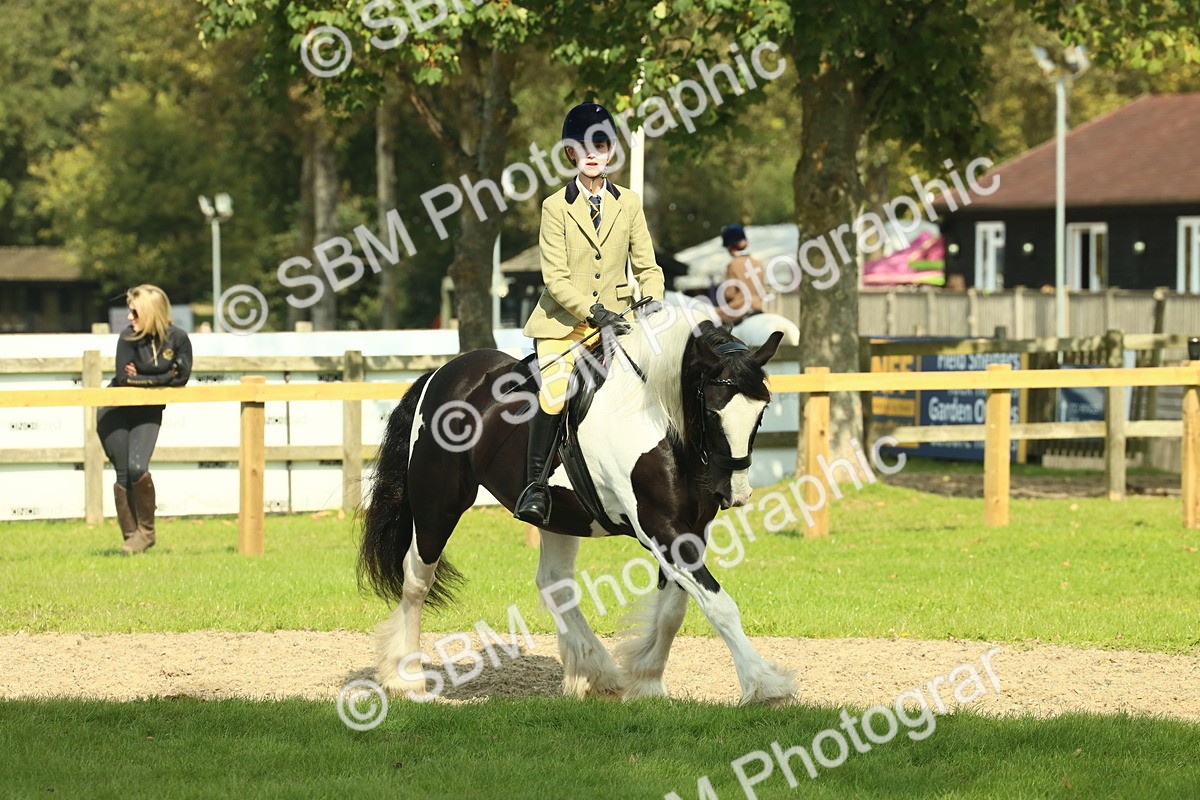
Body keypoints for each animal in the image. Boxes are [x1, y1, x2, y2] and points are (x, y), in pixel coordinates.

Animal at [358, 307, 797, 705]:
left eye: (762, 410)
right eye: (711, 408)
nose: (733, 493)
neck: (660, 420)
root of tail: (444, 374)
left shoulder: (688, 528)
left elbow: (675, 609)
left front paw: (647, 680)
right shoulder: (662, 528)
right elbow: (719, 605)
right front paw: (764, 686)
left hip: (558, 515)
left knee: (554, 584)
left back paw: (593, 672)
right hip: (438, 502)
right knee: (417, 579)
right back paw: (406, 678)